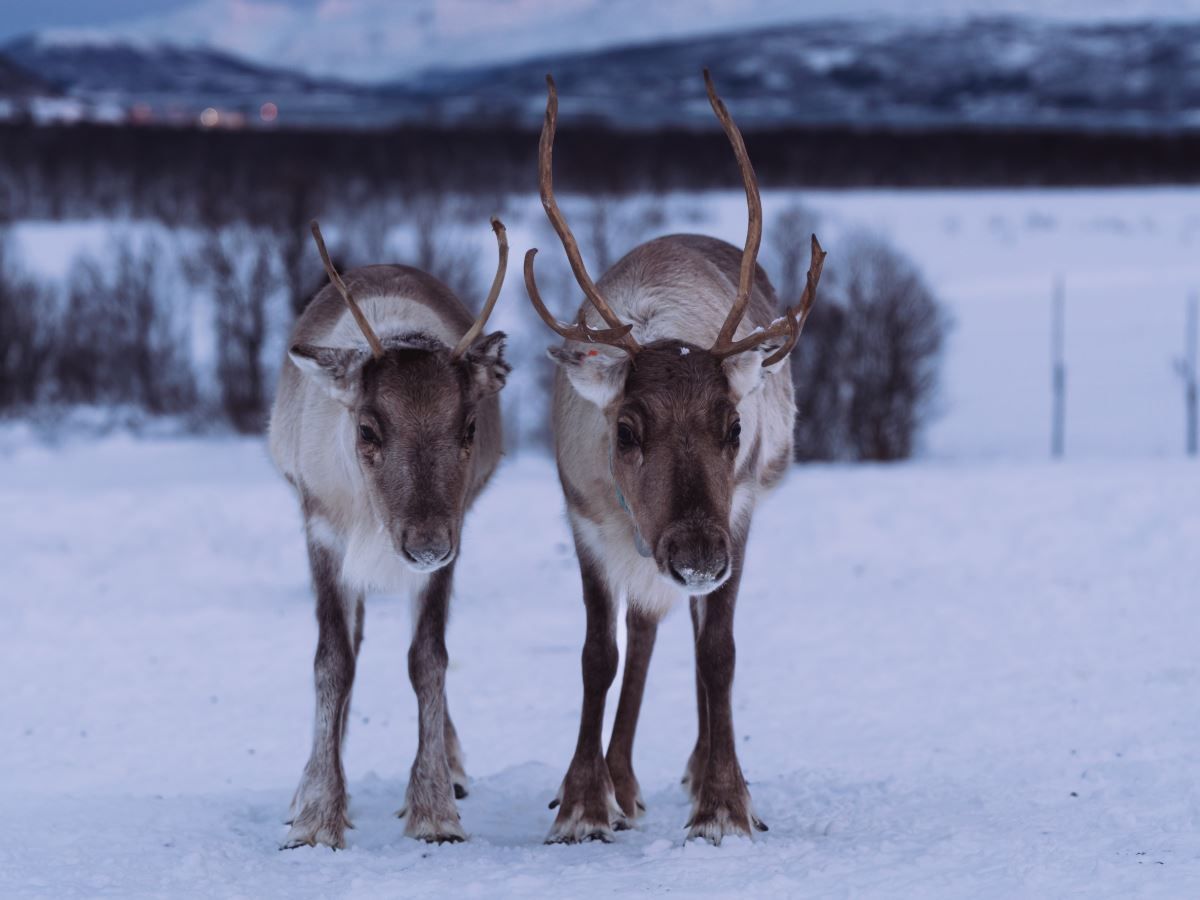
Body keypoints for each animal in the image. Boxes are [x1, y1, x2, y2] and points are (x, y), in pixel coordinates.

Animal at [268, 217, 511, 848]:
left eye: (469, 426)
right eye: (368, 429)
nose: (424, 545)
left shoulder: (452, 537)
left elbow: (428, 659)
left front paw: (433, 810)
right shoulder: (323, 531)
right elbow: (333, 660)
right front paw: (316, 814)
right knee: (349, 648)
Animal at [523, 71, 826, 844]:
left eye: (734, 425)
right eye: (627, 430)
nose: (695, 553)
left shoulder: (736, 514)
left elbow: (719, 651)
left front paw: (723, 801)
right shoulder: (586, 521)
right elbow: (598, 655)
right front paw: (584, 801)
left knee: (693, 636)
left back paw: (694, 770)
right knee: (644, 630)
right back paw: (624, 783)